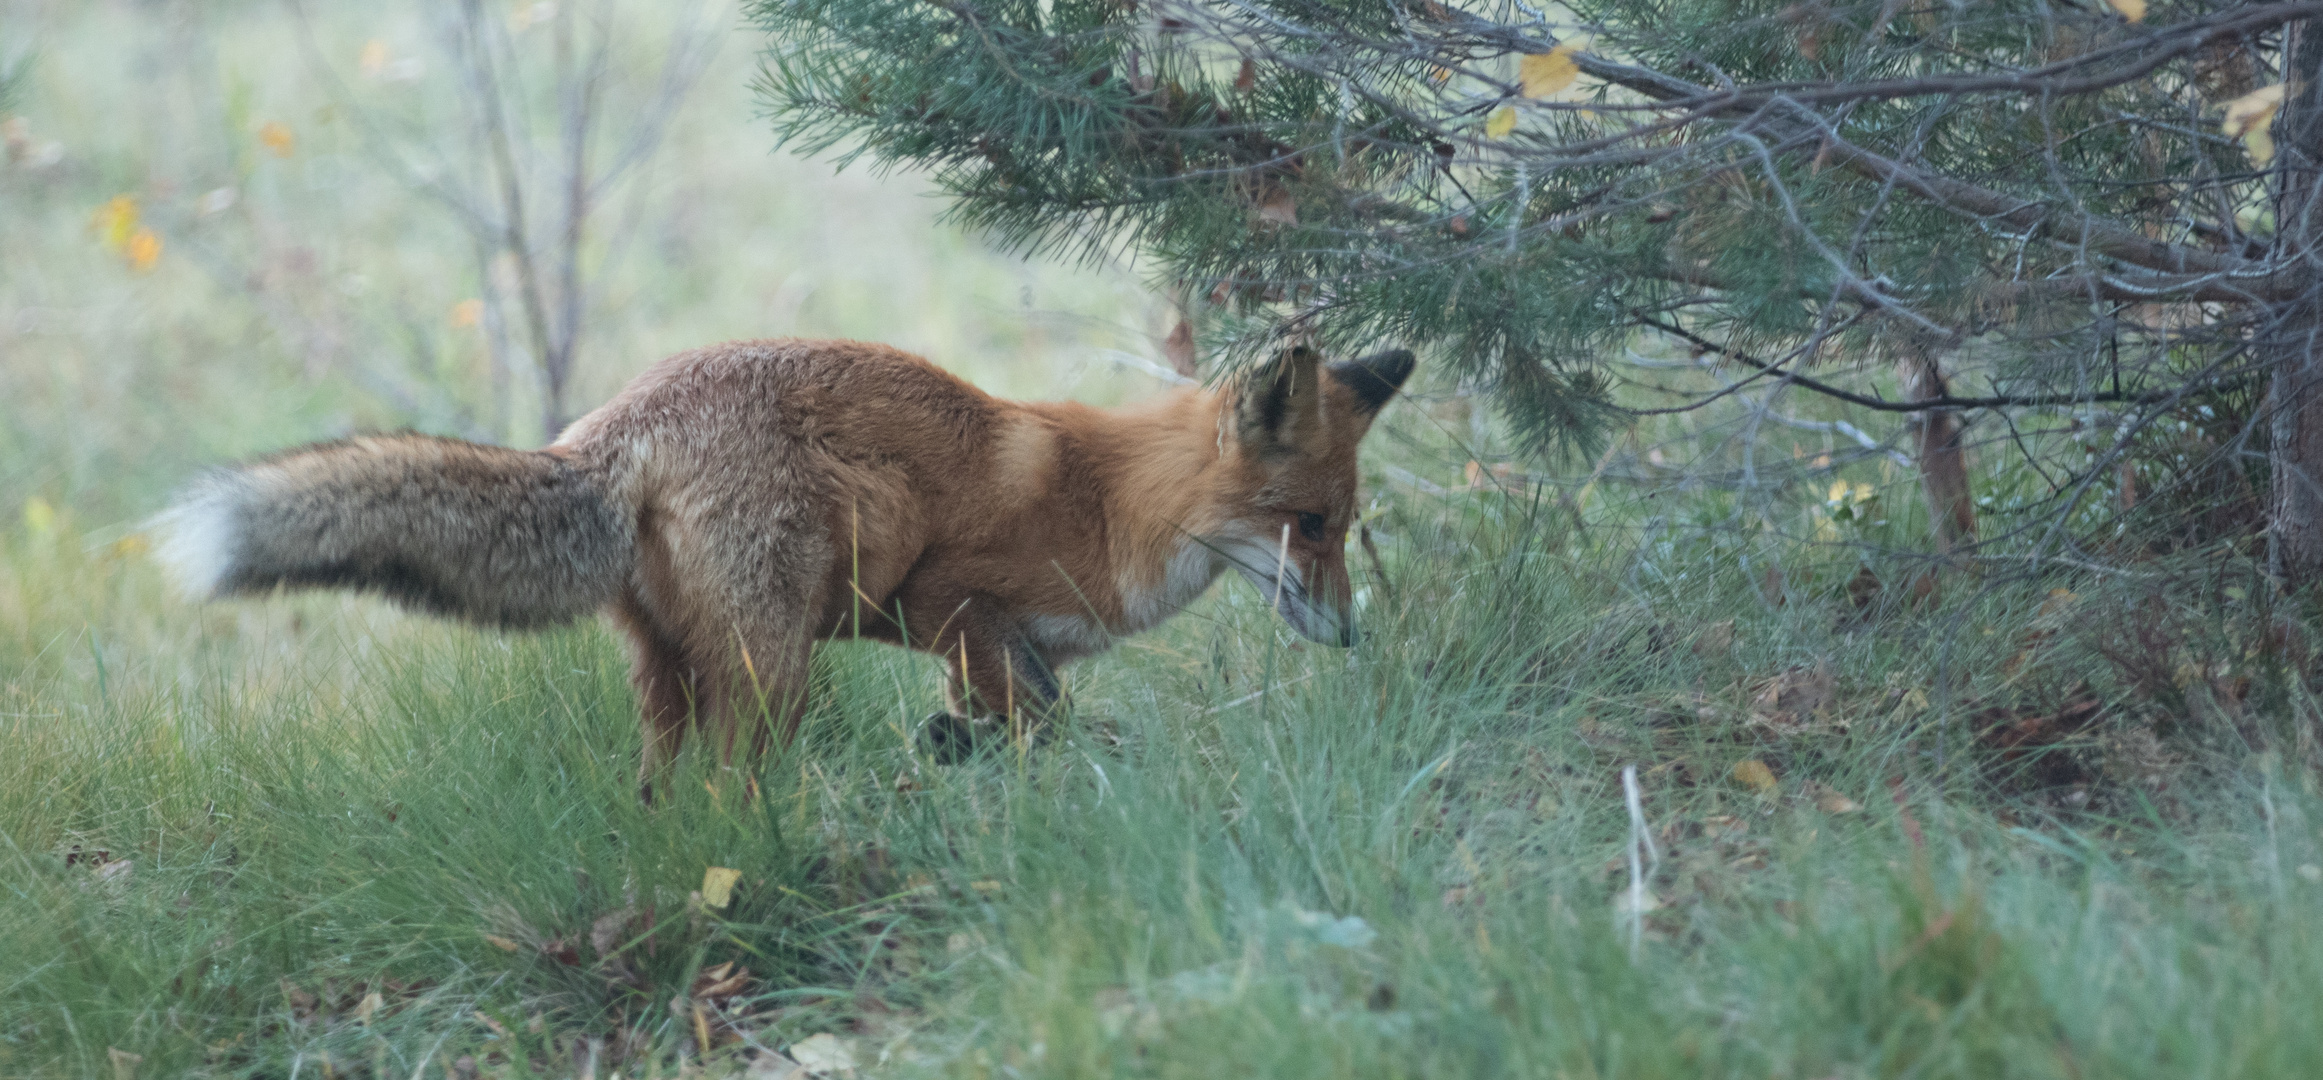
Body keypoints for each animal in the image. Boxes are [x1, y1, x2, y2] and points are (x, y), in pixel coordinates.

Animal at [159, 332, 1412, 785]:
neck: (1107, 506)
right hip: (777, 666)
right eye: (1310, 525)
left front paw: (958, 757)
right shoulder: (959, 602)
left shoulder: (984, 651)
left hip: (669, 671)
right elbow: (1046, 723)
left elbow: (1007, 723)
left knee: (666, 786)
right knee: (731, 785)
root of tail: (605, 432)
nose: (1354, 633)